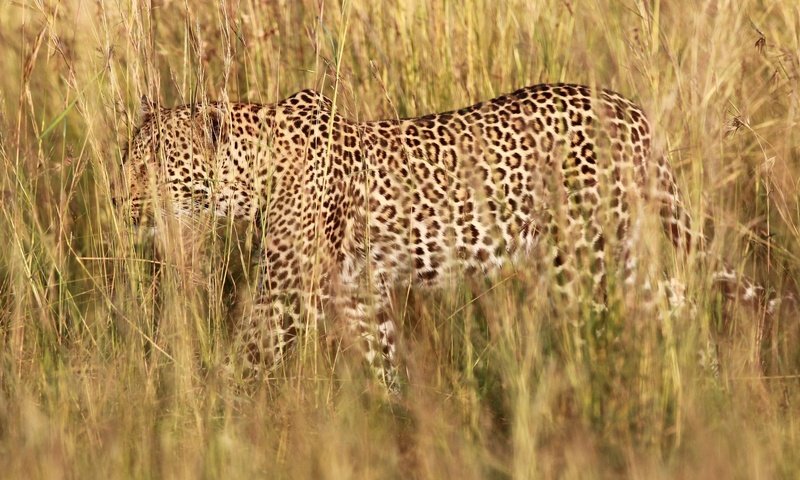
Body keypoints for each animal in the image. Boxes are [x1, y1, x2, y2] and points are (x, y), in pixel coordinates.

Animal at [119, 82, 764, 390]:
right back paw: (708, 389)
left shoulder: (286, 291)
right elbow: (380, 360)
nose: (120, 204)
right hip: (614, 252)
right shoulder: (360, 292)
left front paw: (213, 416)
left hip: (584, 258)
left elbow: (249, 355)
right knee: (678, 301)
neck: (256, 172)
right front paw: (395, 417)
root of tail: (631, 111)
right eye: (129, 158)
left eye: (154, 166)